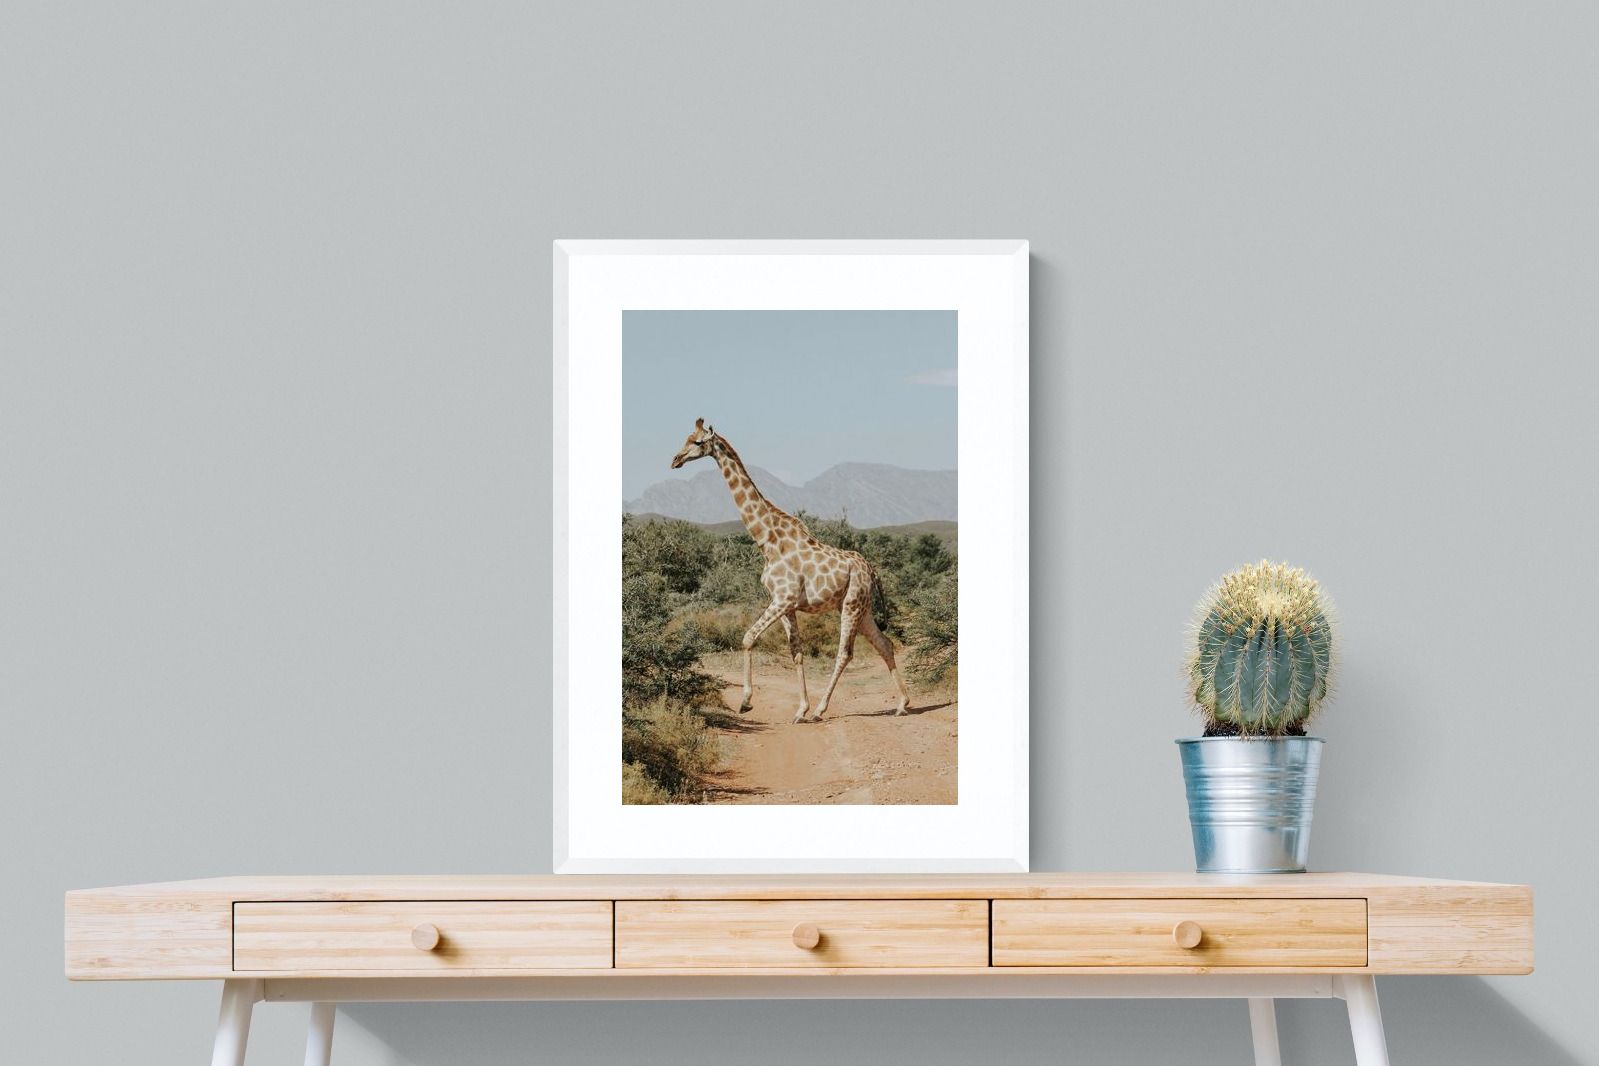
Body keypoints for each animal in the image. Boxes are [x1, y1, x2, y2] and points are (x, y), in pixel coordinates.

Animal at [670, 418, 912, 724]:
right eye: (686, 438)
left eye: (698, 442)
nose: (675, 460)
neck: (767, 541)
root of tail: (871, 570)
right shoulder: (787, 605)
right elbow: (796, 653)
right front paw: (800, 709)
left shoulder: (783, 599)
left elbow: (748, 638)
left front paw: (746, 702)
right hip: (863, 608)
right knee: (885, 644)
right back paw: (902, 703)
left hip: (852, 604)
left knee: (845, 653)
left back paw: (821, 710)